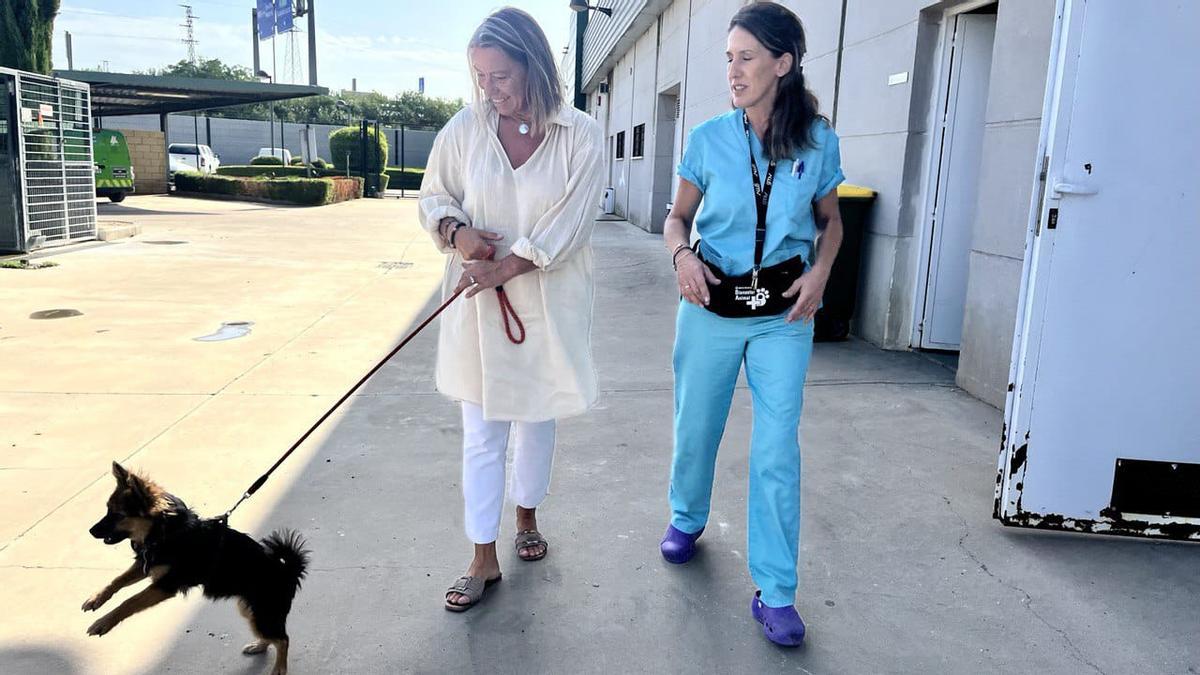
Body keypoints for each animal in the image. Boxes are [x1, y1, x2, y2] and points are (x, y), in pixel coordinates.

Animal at [84, 461, 309, 672]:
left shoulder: (166, 585)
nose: (90, 531)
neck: (165, 532)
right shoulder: (148, 563)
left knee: (283, 640)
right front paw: (96, 598)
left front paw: (103, 622)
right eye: (107, 510)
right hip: (249, 610)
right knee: (272, 636)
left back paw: (279, 668)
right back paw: (259, 645)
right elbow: (117, 580)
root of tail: (288, 570)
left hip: (264, 611)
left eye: (118, 515)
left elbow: (129, 602)